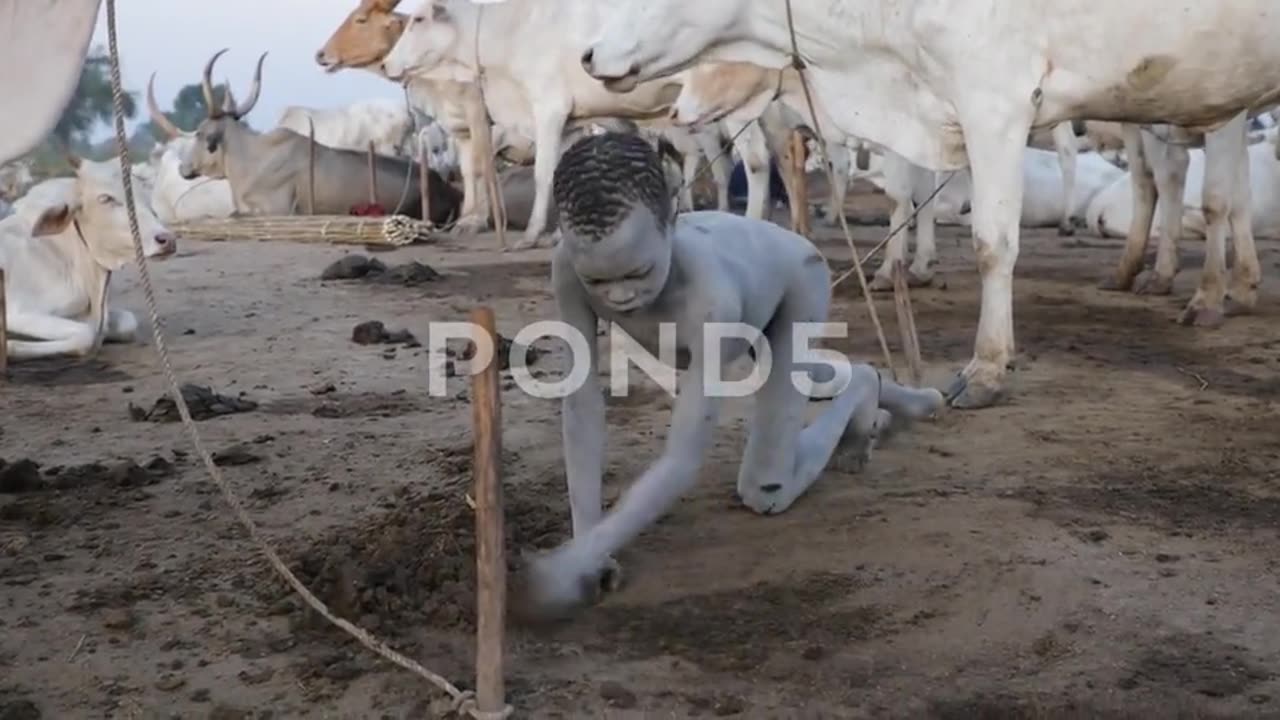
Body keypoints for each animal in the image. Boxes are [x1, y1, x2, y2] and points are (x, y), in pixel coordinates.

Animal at [1, 156, 176, 358]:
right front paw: (10, 347)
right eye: (105, 198)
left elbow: (127, 322)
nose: (167, 239)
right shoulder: (18, 313)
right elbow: (86, 335)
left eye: (146, 196)